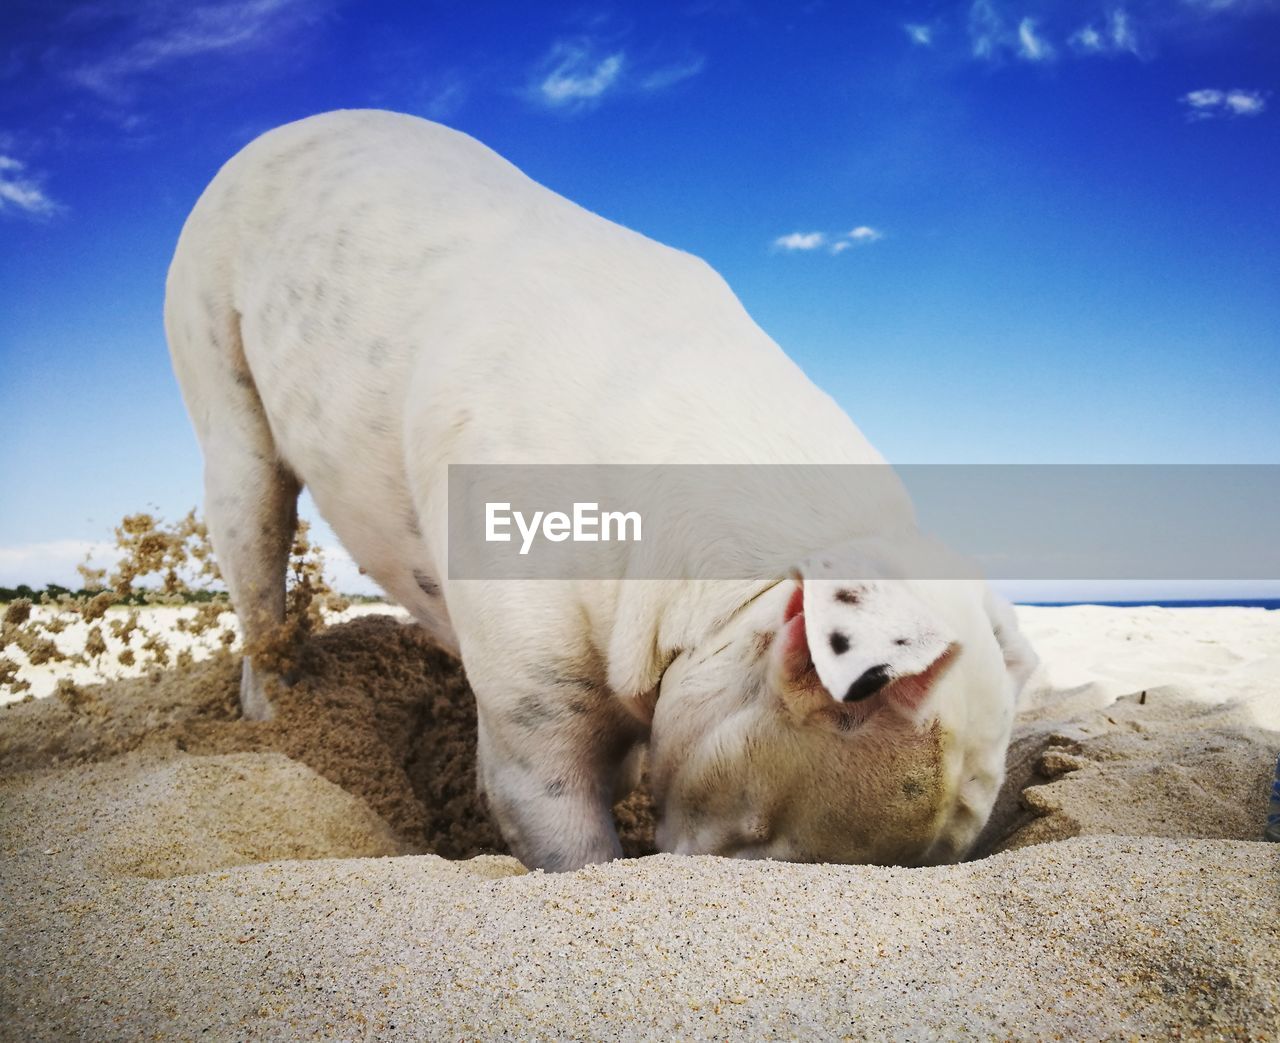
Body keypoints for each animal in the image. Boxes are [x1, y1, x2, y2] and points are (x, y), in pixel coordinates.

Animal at [165, 110, 1034, 875]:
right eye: (764, 842)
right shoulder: (531, 701)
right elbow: (565, 834)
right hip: (216, 377)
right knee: (255, 546)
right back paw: (280, 716)